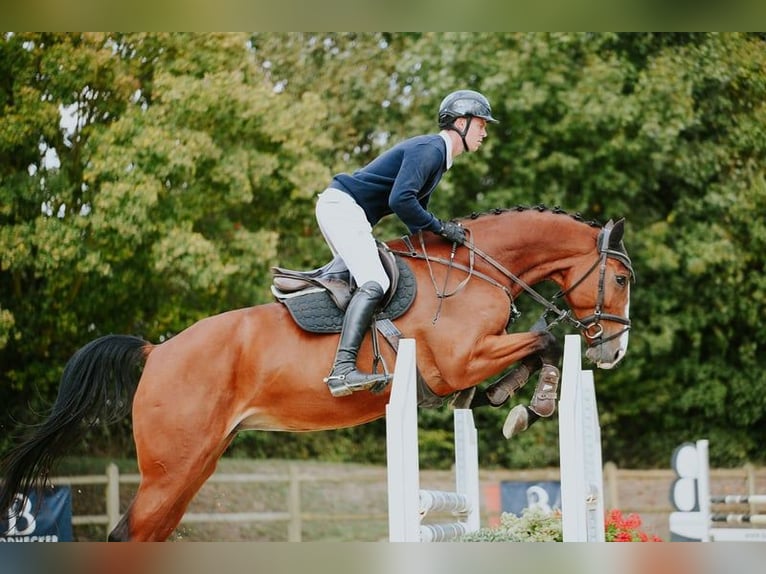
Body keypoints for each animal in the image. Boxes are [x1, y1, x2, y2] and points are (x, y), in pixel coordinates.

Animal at [0, 206, 634, 541]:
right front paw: (536, 401)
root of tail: (157, 352)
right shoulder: (459, 361)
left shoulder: (468, 367)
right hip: (170, 469)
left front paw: (516, 400)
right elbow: (545, 339)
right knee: (129, 534)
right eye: (623, 279)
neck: (476, 271)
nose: (614, 352)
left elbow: (533, 351)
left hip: (194, 466)